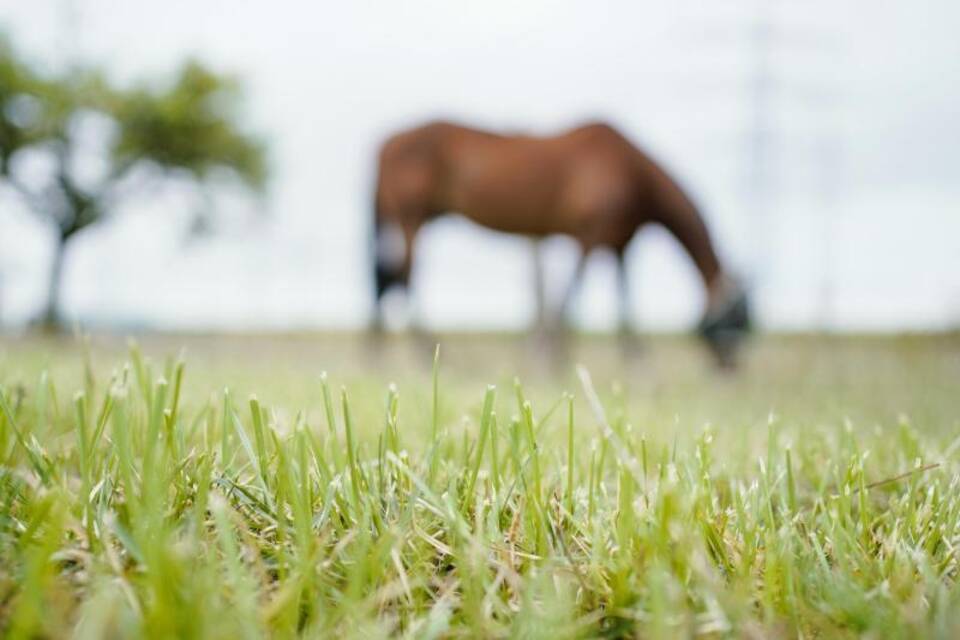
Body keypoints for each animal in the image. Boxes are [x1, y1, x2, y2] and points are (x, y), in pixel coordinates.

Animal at [368, 119, 752, 364]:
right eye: (738, 319)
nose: (731, 367)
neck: (632, 172)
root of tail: (386, 141)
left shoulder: (620, 242)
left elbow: (623, 300)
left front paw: (636, 360)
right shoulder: (589, 234)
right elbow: (570, 296)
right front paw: (552, 357)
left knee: (388, 278)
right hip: (411, 216)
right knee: (404, 276)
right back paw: (426, 353)